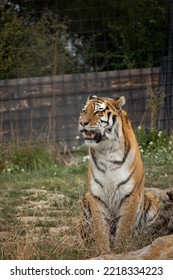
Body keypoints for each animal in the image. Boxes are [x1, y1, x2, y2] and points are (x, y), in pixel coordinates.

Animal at [78, 94, 159, 254]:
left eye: (98, 112)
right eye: (84, 111)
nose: (82, 123)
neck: (106, 151)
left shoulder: (130, 194)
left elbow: (124, 229)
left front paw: (121, 250)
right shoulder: (96, 195)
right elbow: (100, 229)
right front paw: (103, 252)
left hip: (153, 202)